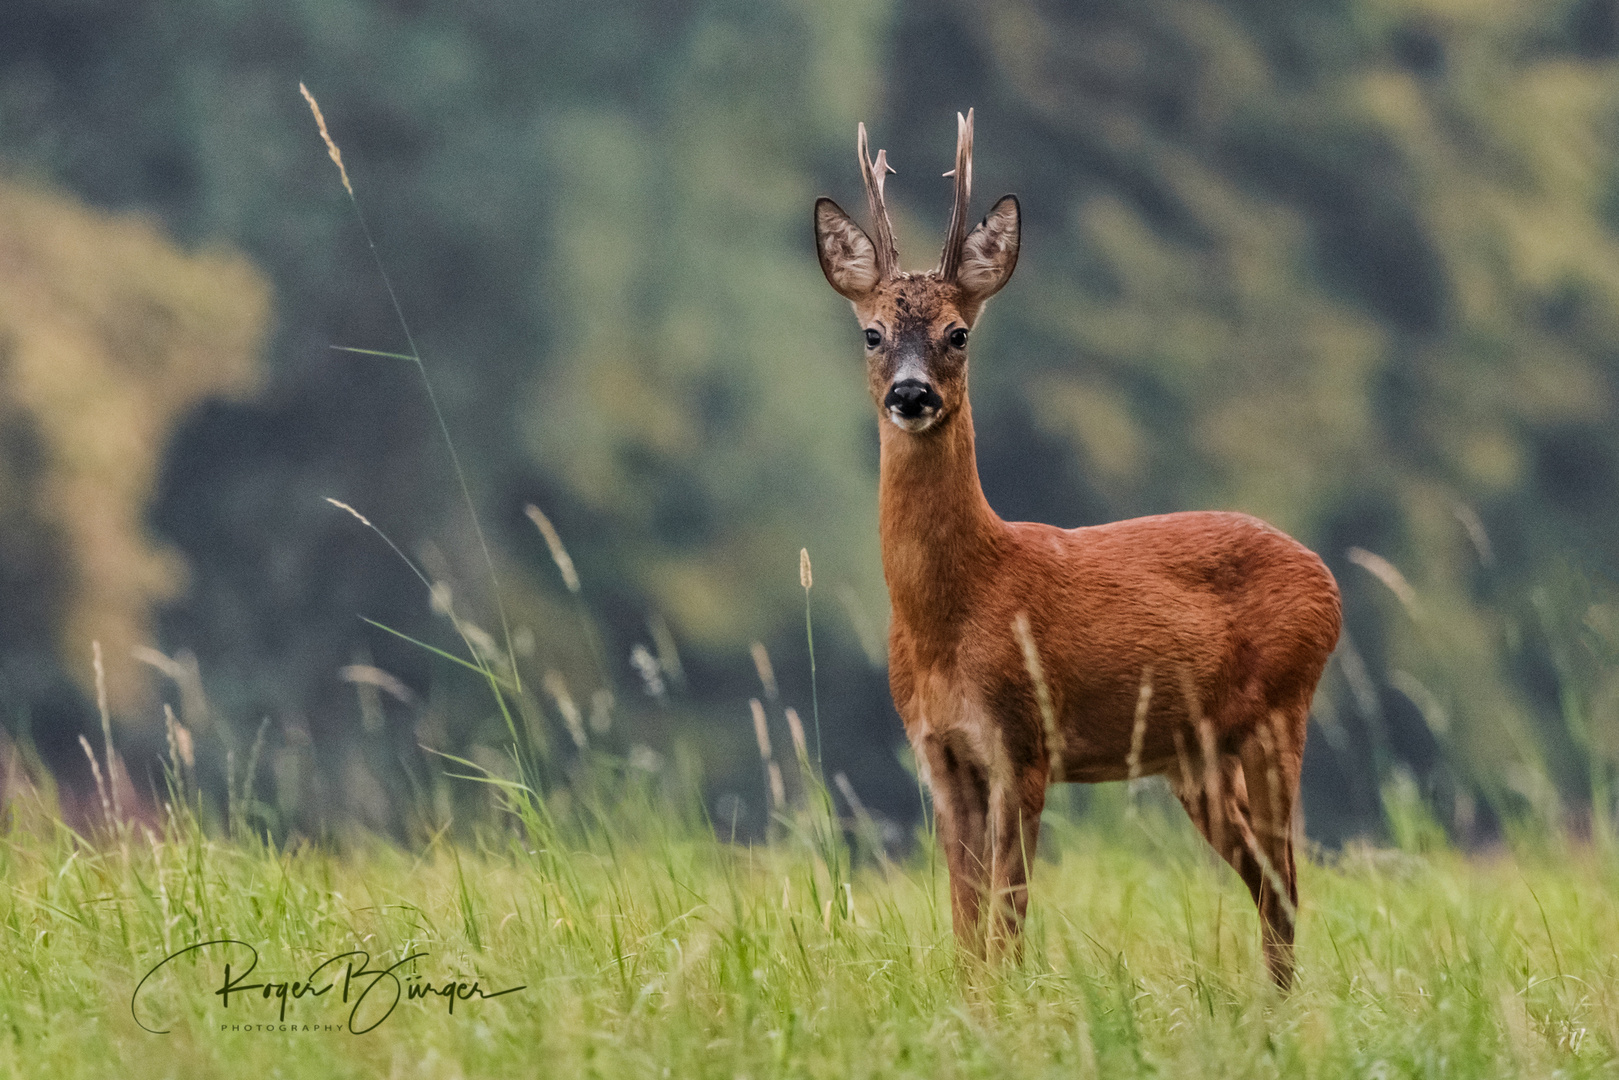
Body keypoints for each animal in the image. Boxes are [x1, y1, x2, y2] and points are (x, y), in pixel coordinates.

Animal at [809, 111, 1340, 990]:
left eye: (958, 333)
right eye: (871, 333)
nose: (912, 395)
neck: (953, 614)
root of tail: (1326, 577)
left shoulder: (1024, 740)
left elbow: (1006, 922)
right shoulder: (939, 754)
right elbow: (965, 923)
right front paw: (970, 1006)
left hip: (1279, 709)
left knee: (1287, 886)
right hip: (1193, 756)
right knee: (1269, 883)